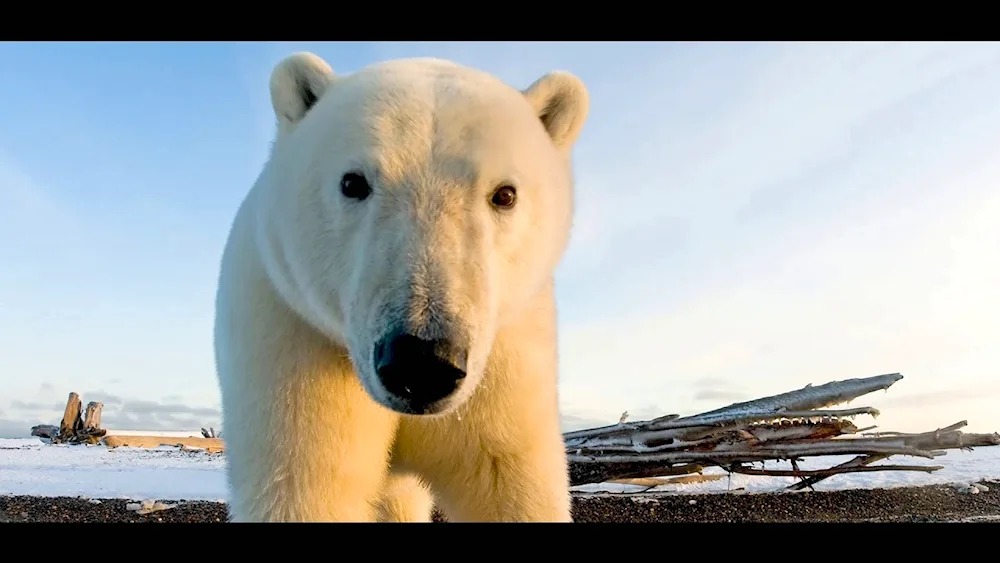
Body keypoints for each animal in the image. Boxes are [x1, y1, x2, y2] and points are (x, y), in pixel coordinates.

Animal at [211, 51, 584, 524]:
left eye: (505, 194)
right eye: (353, 182)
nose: (421, 362)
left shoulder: (506, 362)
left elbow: (505, 477)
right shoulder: (293, 337)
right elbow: (307, 485)